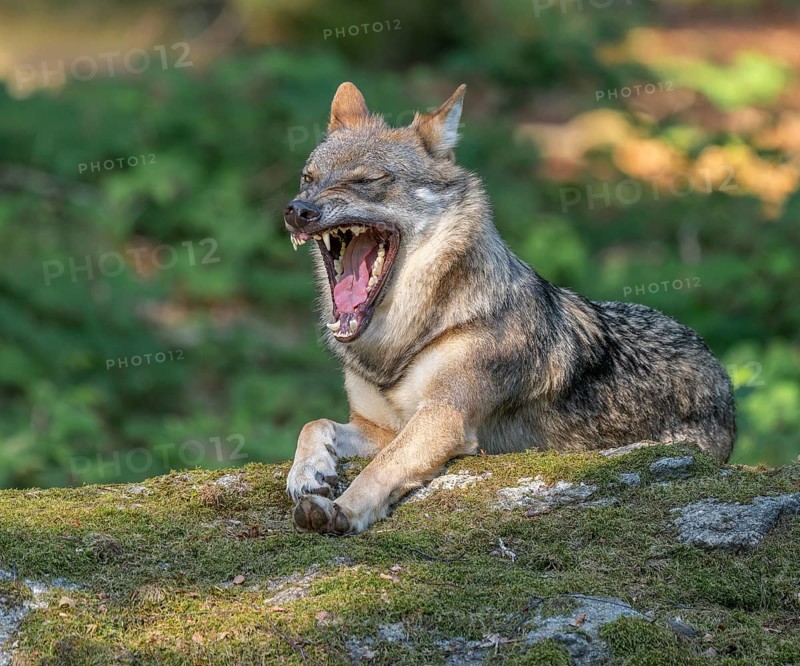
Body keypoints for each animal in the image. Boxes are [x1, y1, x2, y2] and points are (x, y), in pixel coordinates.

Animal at [282, 82, 735, 535]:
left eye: (368, 180)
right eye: (308, 179)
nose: (298, 210)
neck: (396, 345)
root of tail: (719, 371)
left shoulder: (443, 419)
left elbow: (381, 468)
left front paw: (342, 509)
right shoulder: (379, 427)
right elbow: (314, 424)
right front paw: (307, 474)